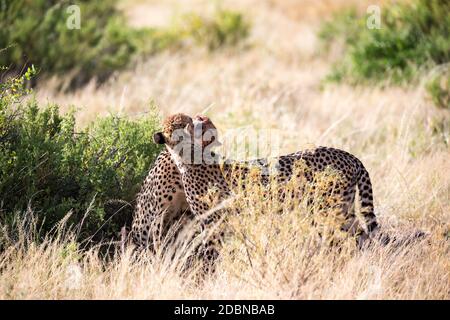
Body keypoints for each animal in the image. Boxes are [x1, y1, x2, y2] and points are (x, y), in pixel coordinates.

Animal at [153, 114, 382, 264]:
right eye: (182, 122)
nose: (200, 120)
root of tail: (349, 155)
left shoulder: (213, 223)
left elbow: (211, 254)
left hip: (327, 212)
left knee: (345, 241)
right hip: (343, 211)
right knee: (362, 237)